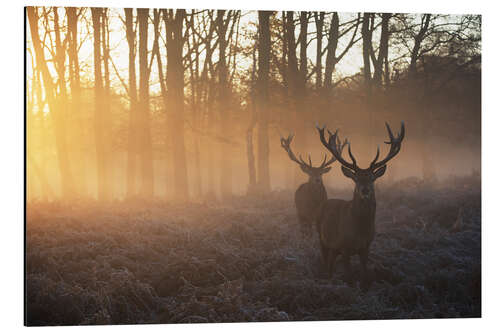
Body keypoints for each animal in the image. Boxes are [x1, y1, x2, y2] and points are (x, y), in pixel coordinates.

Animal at [316, 122, 406, 286]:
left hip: (333, 248)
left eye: (372, 178)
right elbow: (349, 276)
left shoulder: (366, 247)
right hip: (322, 239)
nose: (365, 190)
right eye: (356, 179)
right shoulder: (344, 247)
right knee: (326, 264)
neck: (360, 231)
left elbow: (365, 275)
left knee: (330, 265)